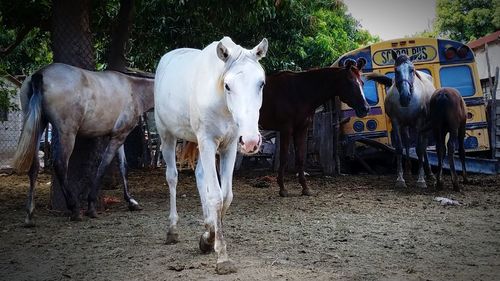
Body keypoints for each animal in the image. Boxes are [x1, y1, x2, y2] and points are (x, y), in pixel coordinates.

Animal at [154, 37, 268, 274]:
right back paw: (172, 230)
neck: (221, 103)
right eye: (228, 85)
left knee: (199, 176)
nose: (251, 141)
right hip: (167, 136)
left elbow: (226, 196)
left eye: (261, 83)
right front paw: (222, 257)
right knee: (172, 177)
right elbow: (216, 196)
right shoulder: (207, 141)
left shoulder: (230, 146)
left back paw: (207, 223)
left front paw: (208, 237)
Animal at [260, 58, 370, 196]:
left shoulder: (301, 129)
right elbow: (284, 158)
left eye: (362, 83)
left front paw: (305, 188)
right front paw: (282, 188)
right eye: (350, 82)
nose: (365, 108)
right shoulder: (286, 129)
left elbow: (301, 158)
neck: (298, 92)